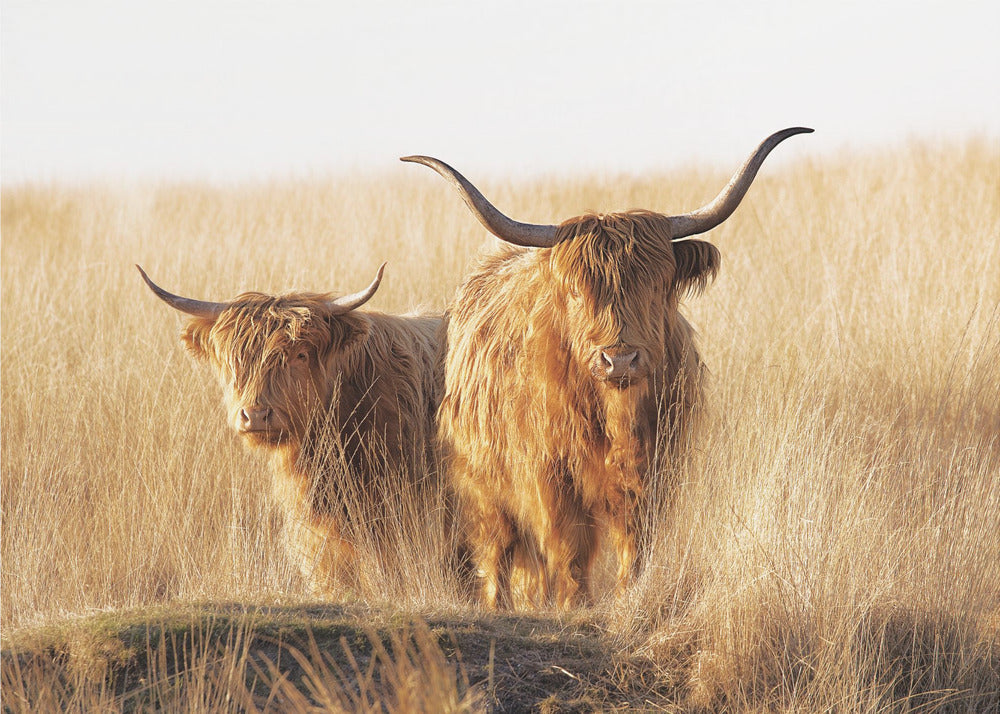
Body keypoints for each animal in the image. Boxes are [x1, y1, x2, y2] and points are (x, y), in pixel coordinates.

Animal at [403, 127, 812, 609]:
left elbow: (635, 539)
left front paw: (628, 595)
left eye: (655, 286)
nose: (620, 359)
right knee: (497, 549)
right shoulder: (549, 475)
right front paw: (575, 603)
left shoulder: (654, 469)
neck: (615, 416)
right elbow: (568, 543)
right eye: (578, 292)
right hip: (481, 483)